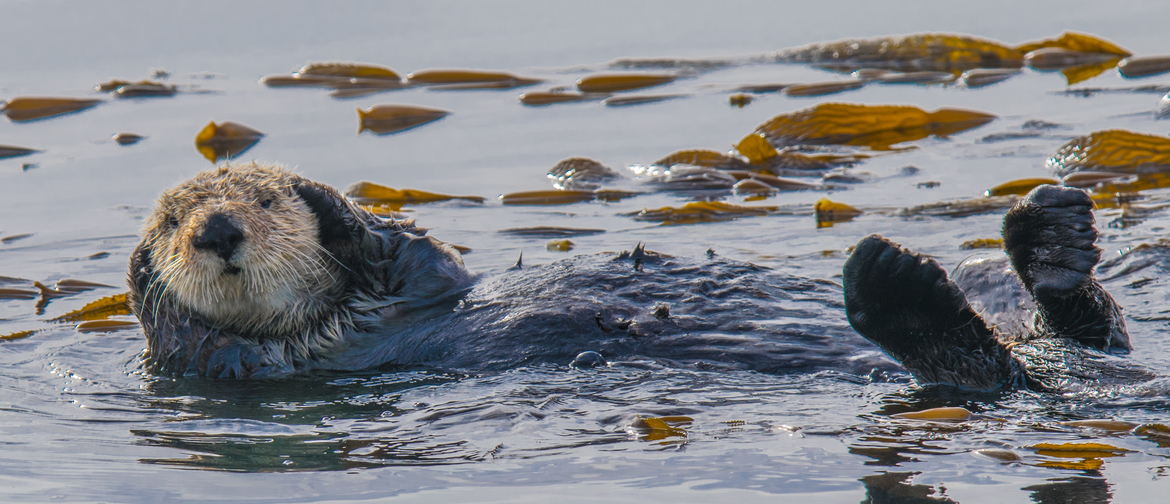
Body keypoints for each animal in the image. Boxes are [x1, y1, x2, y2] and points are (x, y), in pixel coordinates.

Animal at [129, 162, 883, 378]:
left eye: (264, 203)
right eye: (170, 222)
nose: (216, 230)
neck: (341, 321)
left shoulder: (421, 285)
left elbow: (421, 256)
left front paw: (326, 200)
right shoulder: (252, 365)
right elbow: (209, 349)